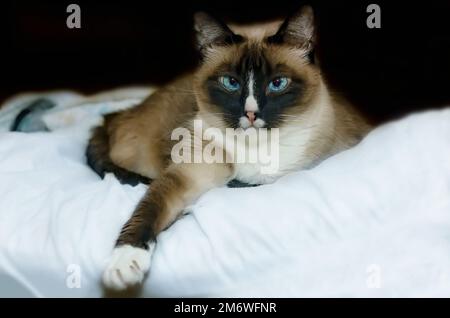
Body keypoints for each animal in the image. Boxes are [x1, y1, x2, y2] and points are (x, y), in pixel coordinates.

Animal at [86, 5, 370, 290]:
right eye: (230, 83)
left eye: (277, 83)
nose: (251, 114)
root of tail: (117, 114)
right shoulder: (187, 176)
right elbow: (148, 210)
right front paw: (124, 263)